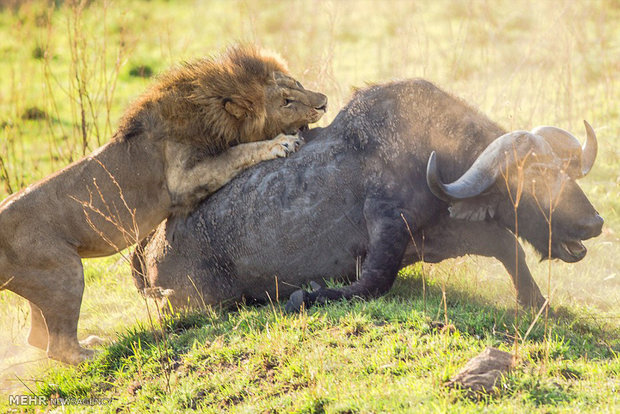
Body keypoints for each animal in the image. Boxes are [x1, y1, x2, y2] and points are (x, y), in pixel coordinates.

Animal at [0, 44, 330, 362]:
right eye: (286, 101)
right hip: (63, 270)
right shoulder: (183, 179)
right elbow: (237, 154)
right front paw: (281, 143)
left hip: (45, 280)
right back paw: (95, 354)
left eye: (297, 83)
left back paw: (91, 343)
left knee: (38, 337)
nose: (324, 102)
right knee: (57, 346)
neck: (210, 113)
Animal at [131, 78, 600, 310]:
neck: (432, 159)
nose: (593, 222)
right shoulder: (388, 226)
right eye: (533, 178)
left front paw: (536, 301)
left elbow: (508, 246)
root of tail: (150, 249)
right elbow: (373, 284)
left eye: (564, 171)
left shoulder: (443, 231)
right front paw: (310, 294)